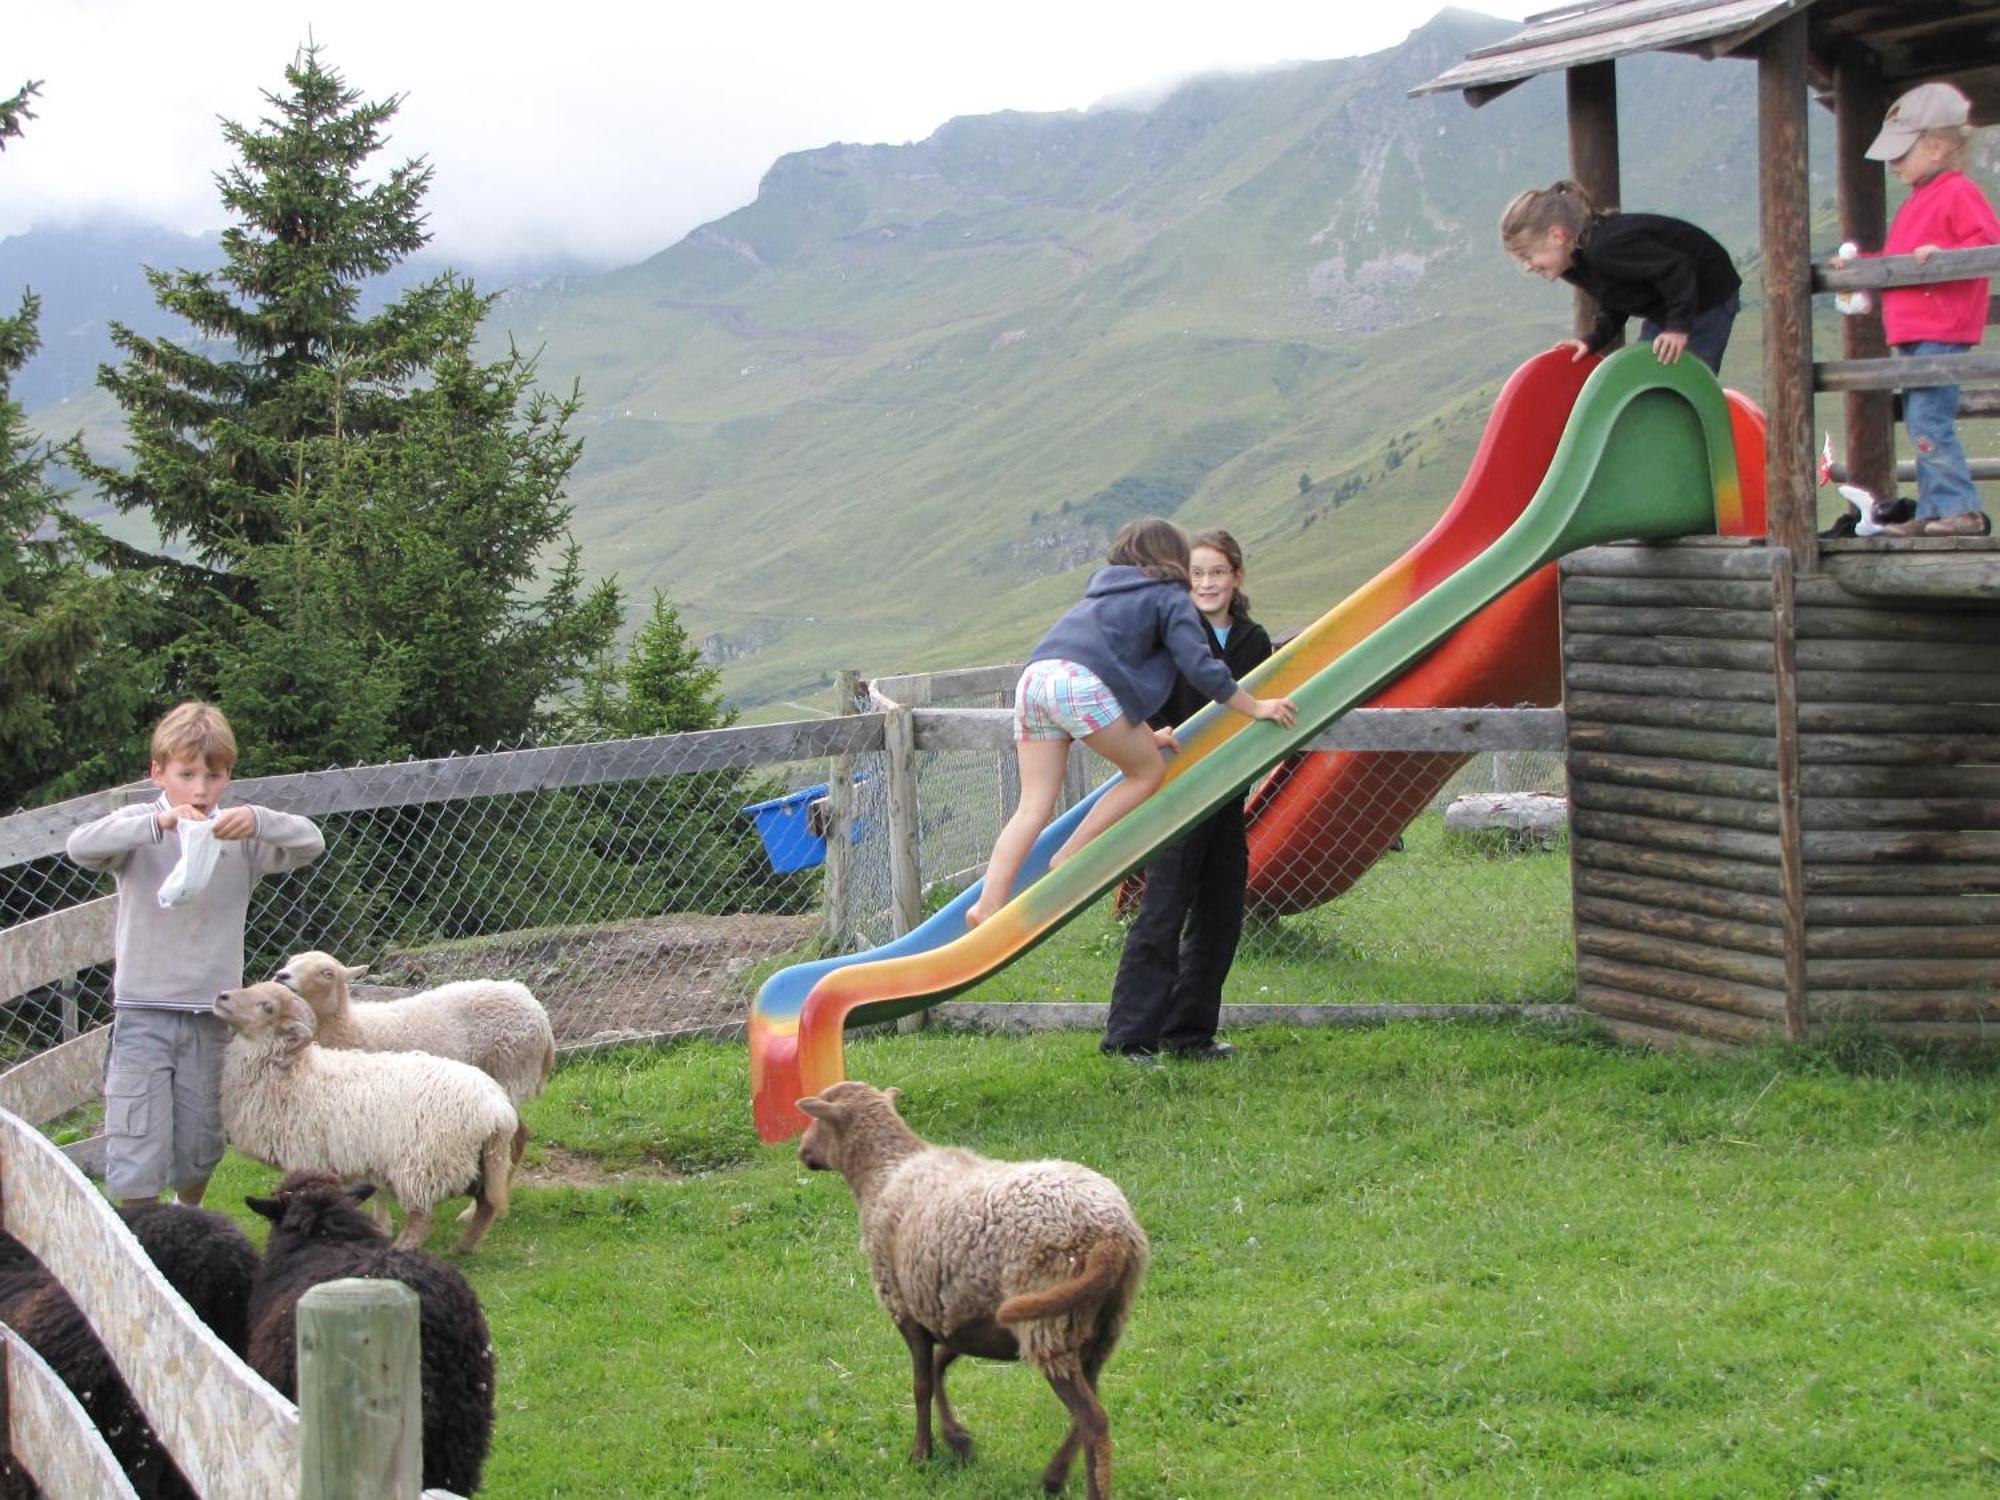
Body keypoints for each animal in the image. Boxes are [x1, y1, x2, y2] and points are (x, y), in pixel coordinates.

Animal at [213, 988, 516, 1256]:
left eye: (267, 1007)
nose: (221, 997)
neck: (292, 1071)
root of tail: (498, 1110)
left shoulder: (308, 1156)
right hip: (475, 1160)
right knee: (487, 1203)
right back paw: (464, 1246)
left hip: (425, 1162)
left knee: (423, 1217)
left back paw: (402, 1248)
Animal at [274, 952, 556, 1160]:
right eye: (289, 961)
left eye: (327, 973)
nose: (281, 976)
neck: (351, 1026)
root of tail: (538, 1011)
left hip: (511, 1069)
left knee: (514, 1137)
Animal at [792, 1088, 1144, 1496]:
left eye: (817, 1120)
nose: (802, 1151)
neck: (886, 1170)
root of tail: (1111, 1236)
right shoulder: (960, 1316)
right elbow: (939, 1366)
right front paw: (958, 1439)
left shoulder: (906, 1308)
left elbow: (921, 1383)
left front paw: (921, 1452)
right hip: (1097, 1327)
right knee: (1091, 1408)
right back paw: (1055, 1475)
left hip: (1049, 1325)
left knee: (1094, 1420)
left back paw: (1086, 1487)